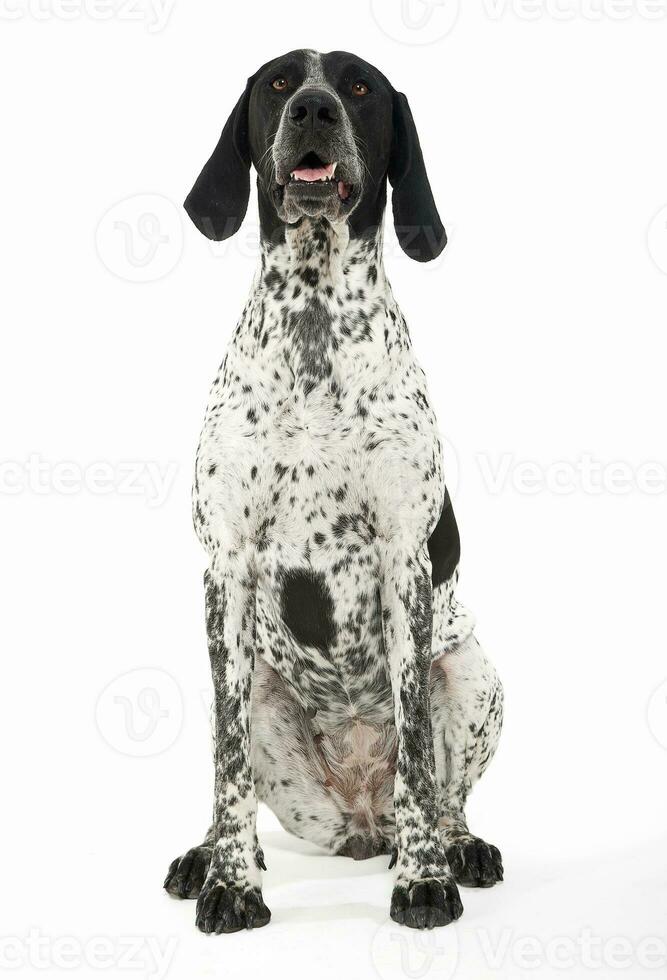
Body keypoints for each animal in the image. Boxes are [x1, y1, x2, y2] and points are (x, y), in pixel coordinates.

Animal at [164, 47, 504, 936]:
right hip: (256, 687)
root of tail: (358, 815)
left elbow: (418, 753)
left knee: (444, 796)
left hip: (473, 672)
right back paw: (207, 853)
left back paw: (456, 846)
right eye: (279, 83)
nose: (313, 108)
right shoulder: (226, 567)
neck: (315, 322)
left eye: (358, 87)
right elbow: (226, 766)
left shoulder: (402, 562)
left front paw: (423, 880)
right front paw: (232, 883)